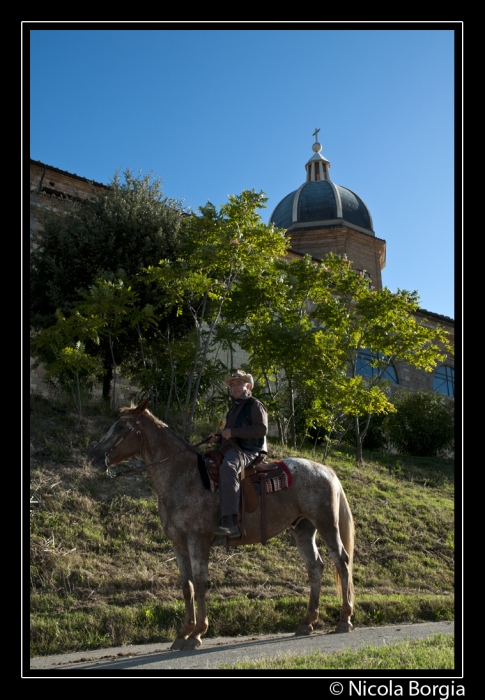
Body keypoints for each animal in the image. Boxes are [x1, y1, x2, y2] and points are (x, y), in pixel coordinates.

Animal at [87, 400, 354, 652]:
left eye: (120, 427)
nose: (92, 457)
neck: (182, 477)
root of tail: (326, 470)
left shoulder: (198, 540)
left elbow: (200, 584)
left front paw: (196, 634)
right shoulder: (178, 544)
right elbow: (187, 586)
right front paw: (182, 634)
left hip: (327, 524)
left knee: (341, 562)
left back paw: (345, 619)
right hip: (302, 529)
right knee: (315, 567)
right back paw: (307, 622)